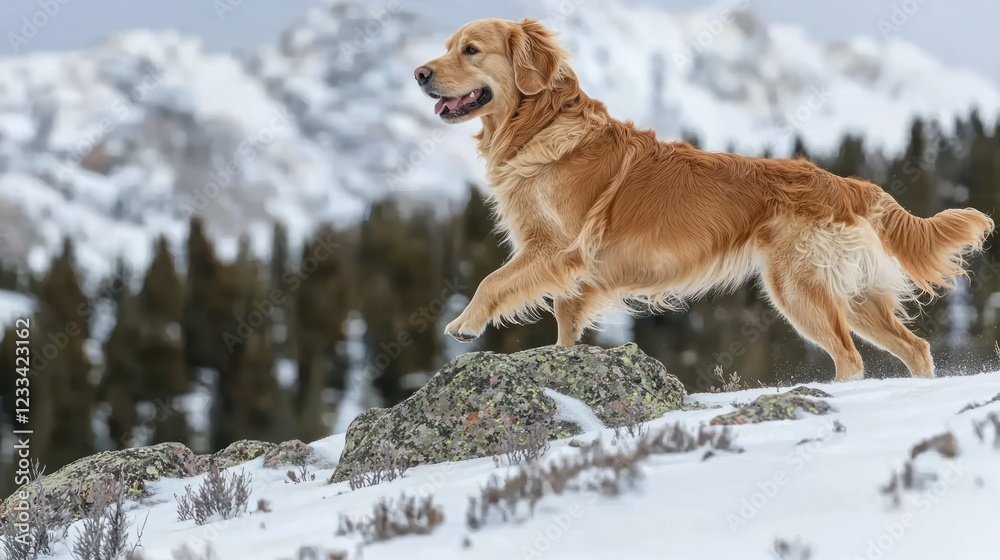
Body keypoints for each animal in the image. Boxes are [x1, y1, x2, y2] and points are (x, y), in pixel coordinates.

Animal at [414, 19, 992, 382]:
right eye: (447, 46)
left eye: (471, 49)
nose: (419, 73)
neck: (540, 125)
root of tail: (848, 183)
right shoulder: (575, 274)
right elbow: (565, 324)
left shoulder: (557, 248)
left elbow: (493, 280)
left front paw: (464, 324)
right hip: (854, 294)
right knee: (915, 346)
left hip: (799, 289)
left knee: (850, 359)